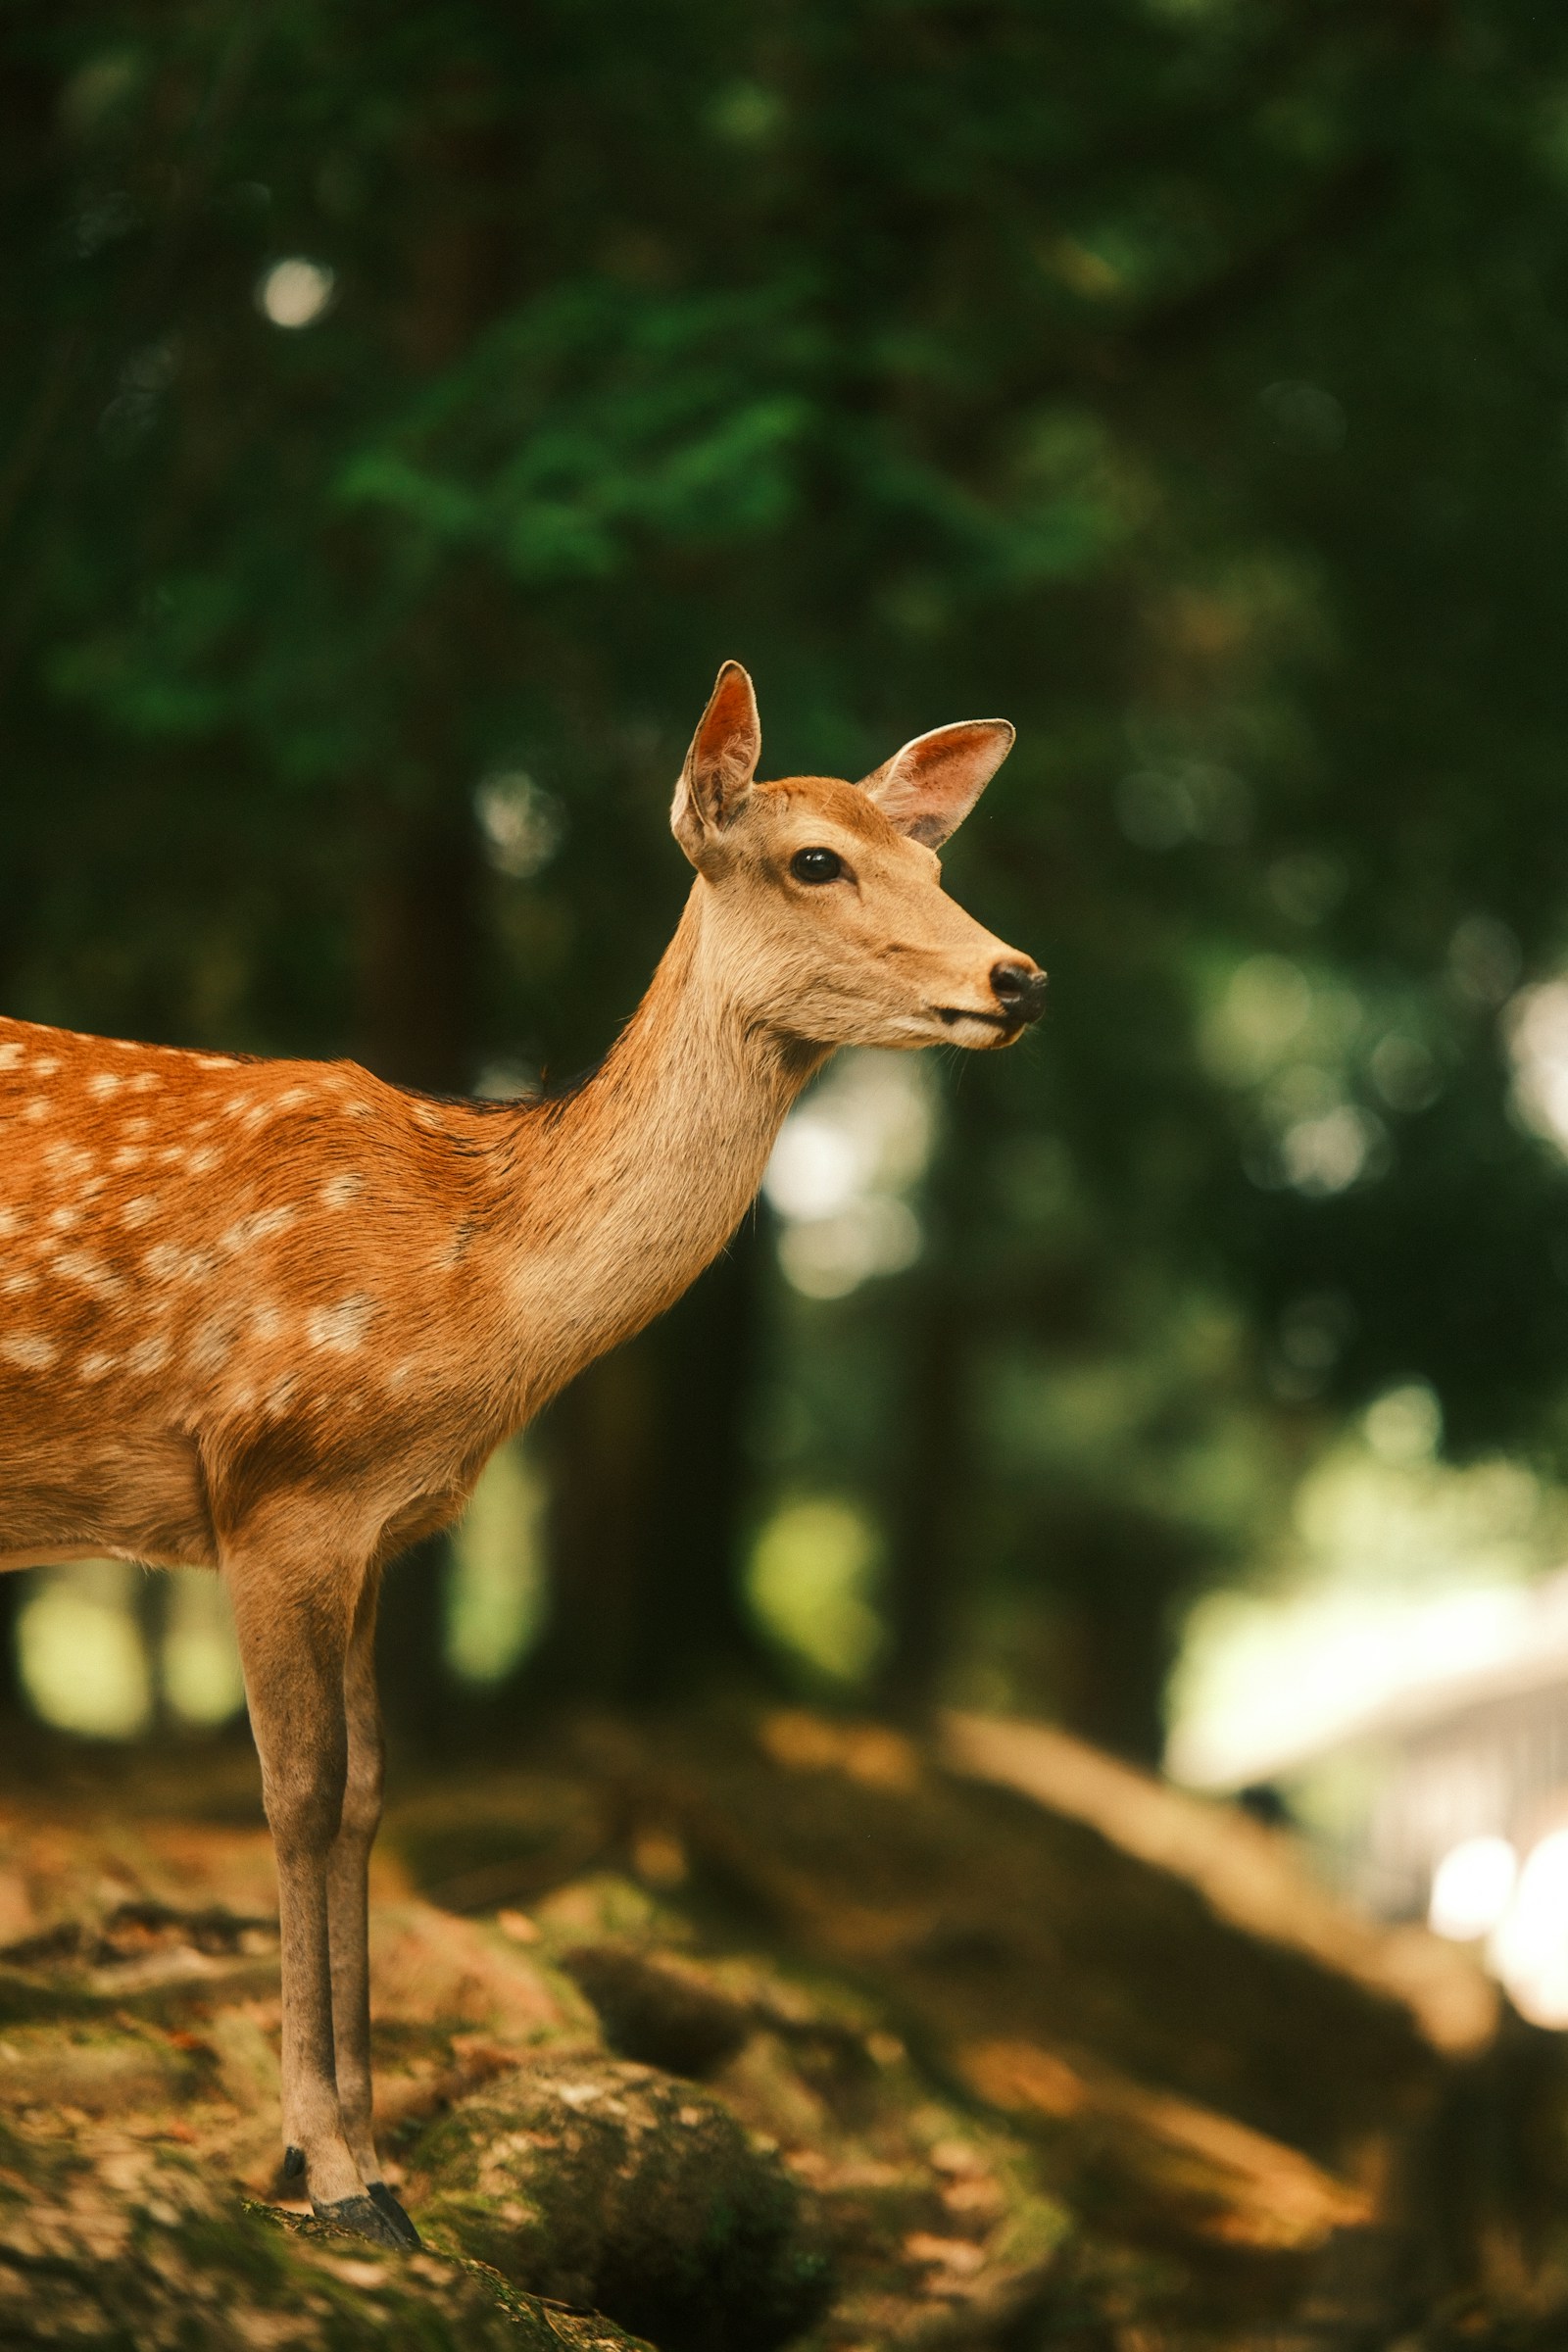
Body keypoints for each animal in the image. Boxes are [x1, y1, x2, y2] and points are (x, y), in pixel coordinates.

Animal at [0, 662, 1044, 2248]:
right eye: (816, 860)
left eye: (933, 863)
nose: (1017, 978)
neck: (478, 1289)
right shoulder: (272, 1483)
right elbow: (297, 1800)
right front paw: (332, 2180)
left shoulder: (373, 1525)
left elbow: (372, 1801)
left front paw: (369, 2164)